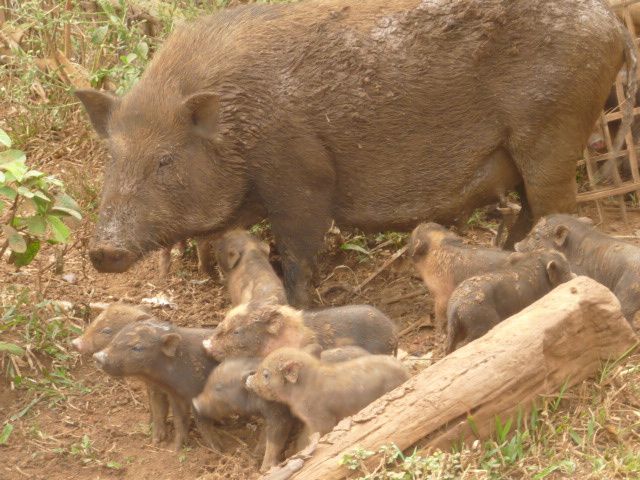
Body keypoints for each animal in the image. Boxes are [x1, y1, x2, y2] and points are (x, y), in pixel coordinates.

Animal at [75, 0, 636, 308]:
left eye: (165, 161)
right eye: (112, 159)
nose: (103, 250)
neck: (235, 123)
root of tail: (611, 23)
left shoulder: (302, 179)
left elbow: (298, 252)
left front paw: (300, 305)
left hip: (553, 131)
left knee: (558, 207)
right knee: (527, 212)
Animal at [91, 320, 219, 452]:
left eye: (137, 347)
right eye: (116, 337)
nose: (98, 356)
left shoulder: (197, 393)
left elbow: (202, 423)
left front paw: (217, 450)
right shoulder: (172, 394)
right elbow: (172, 417)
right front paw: (164, 446)